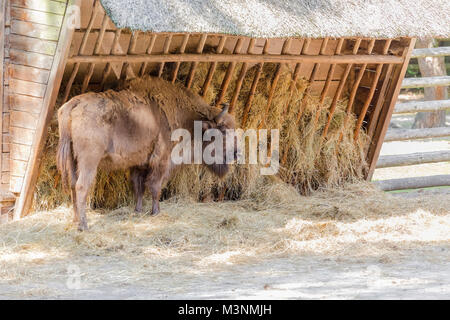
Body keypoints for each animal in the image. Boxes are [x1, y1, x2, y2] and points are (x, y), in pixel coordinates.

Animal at [57, 76, 236, 231]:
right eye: (223, 130)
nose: (236, 153)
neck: (189, 120)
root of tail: (74, 103)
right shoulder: (161, 161)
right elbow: (155, 186)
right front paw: (156, 212)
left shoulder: (139, 164)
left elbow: (139, 187)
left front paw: (138, 211)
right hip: (89, 160)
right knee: (81, 186)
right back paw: (84, 225)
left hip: (72, 159)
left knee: (73, 184)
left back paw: (75, 220)